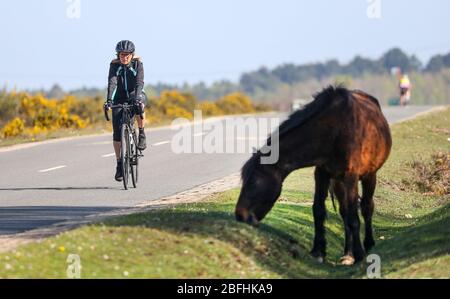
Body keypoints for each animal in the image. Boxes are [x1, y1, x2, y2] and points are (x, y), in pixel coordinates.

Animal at [234, 85, 392, 266]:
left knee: (366, 207)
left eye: (254, 183)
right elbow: (319, 210)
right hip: (338, 182)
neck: (335, 130)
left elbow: (354, 216)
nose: (239, 215)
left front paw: (360, 254)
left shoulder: (351, 176)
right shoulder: (322, 174)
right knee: (345, 212)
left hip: (369, 176)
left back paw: (368, 244)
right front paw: (318, 250)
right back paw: (347, 253)